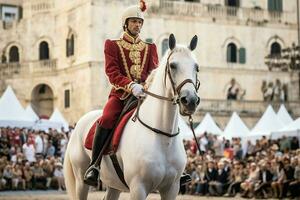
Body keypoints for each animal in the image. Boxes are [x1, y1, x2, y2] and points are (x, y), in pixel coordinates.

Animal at [63, 33, 199, 199]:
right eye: (173, 65)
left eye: (196, 67)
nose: (190, 101)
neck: (163, 137)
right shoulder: (138, 188)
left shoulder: (171, 189)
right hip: (80, 180)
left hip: (114, 184)